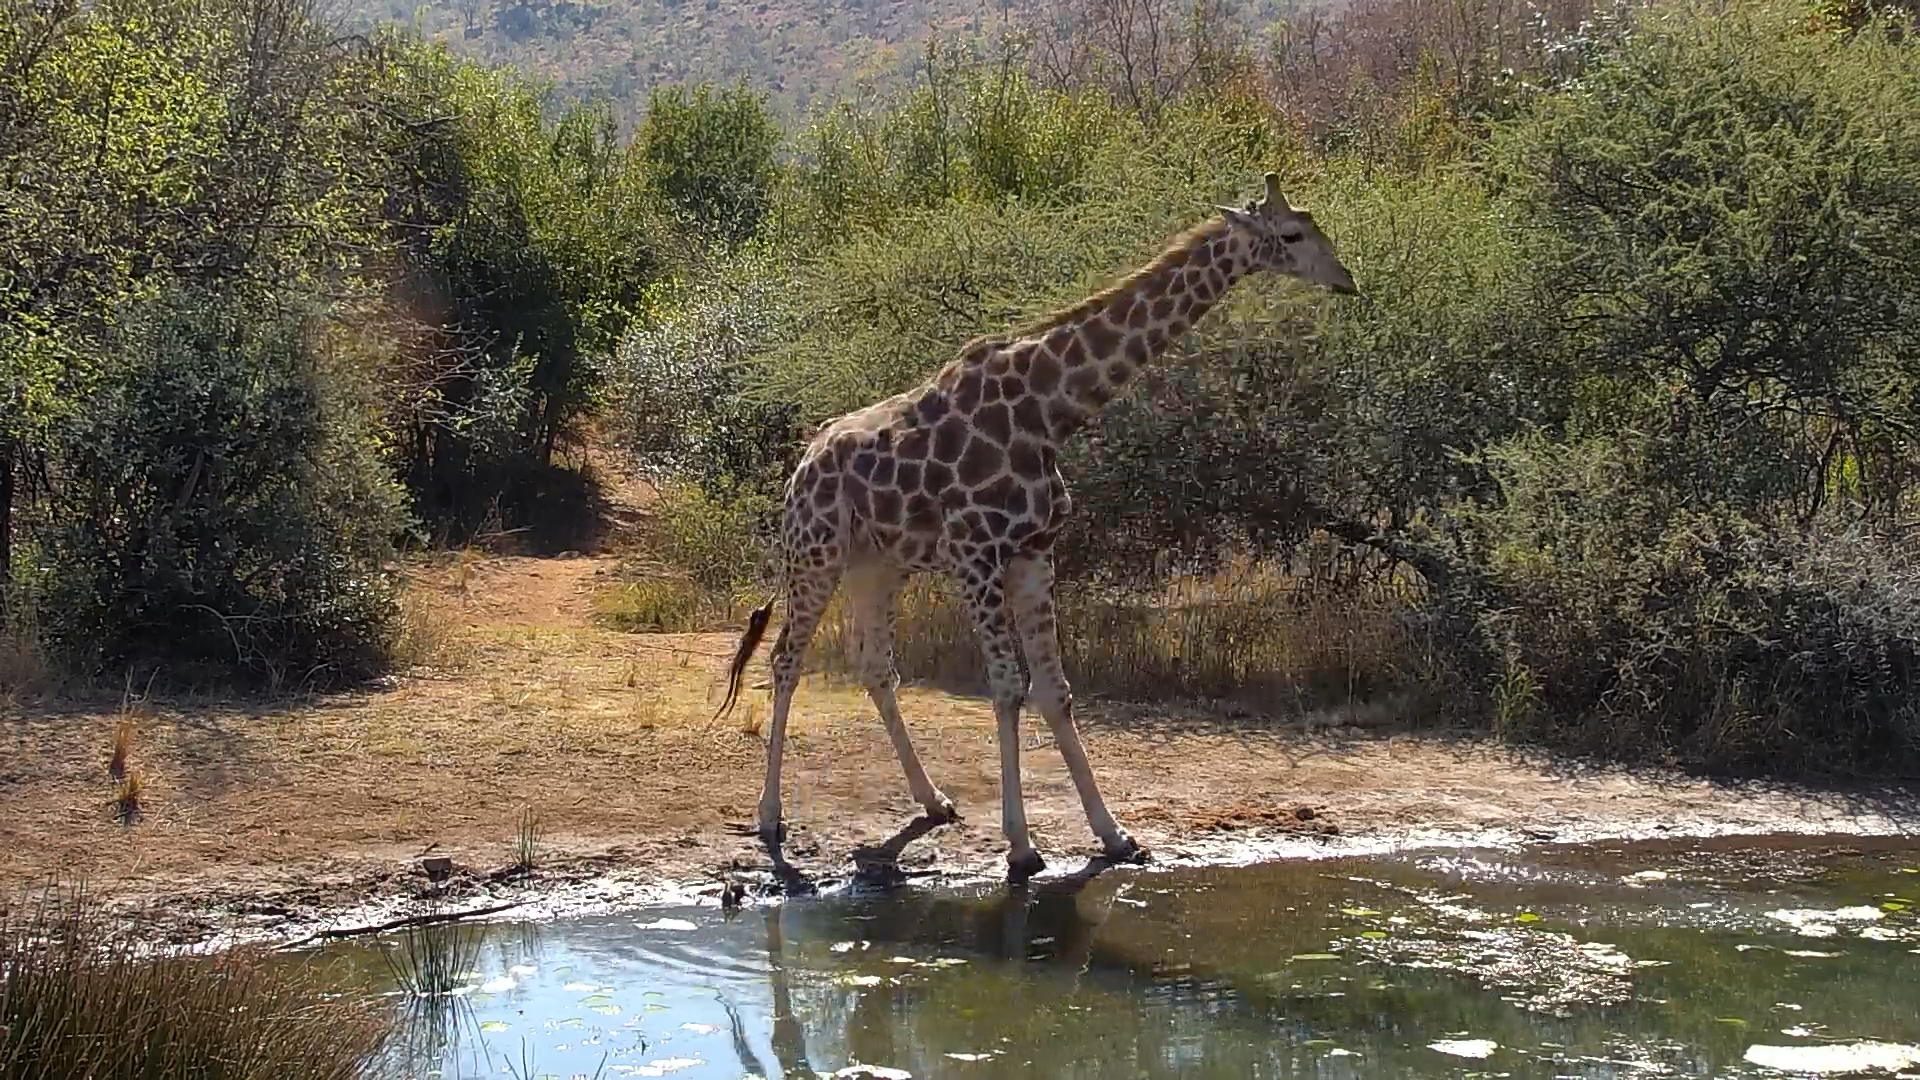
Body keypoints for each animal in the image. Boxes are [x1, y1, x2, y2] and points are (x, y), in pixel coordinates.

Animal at [715, 172, 1359, 884]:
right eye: (1293, 234)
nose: (1347, 281)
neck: (1051, 412)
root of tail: (803, 462)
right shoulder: (976, 553)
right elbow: (1006, 688)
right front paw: (1021, 848)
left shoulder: (1033, 552)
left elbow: (1055, 691)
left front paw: (1116, 835)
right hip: (815, 554)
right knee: (785, 660)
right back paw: (770, 817)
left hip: (877, 564)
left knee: (876, 666)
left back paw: (932, 800)